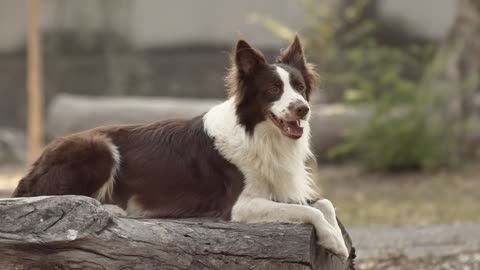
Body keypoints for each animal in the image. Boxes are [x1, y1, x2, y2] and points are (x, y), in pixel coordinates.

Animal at [12, 35, 348, 260]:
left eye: (300, 88)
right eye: (273, 90)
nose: (303, 108)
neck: (258, 133)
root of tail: (36, 162)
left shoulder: (282, 189)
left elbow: (324, 203)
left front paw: (338, 239)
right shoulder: (240, 205)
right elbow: (310, 211)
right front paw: (333, 240)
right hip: (98, 148)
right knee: (60, 196)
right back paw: (113, 208)